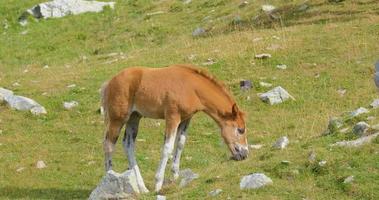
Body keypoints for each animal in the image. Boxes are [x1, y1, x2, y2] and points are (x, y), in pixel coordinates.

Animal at [101, 64, 249, 192]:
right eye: (240, 130)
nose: (244, 154)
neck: (191, 88)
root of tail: (109, 83)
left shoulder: (186, 118)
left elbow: (180, 144)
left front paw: (175, 176)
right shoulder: (172, 117)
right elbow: (167, 148)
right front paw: (158, 183)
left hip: (134, 117)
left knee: (128, 145)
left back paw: (142, 188)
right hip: (118, 119)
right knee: (109, 145)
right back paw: (109, 179)